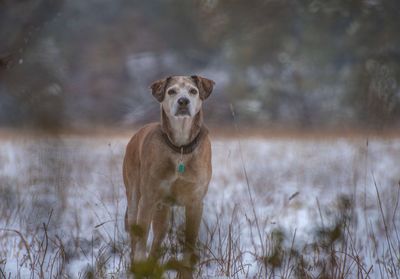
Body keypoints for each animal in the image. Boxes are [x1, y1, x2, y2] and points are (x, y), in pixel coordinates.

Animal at [122, 75, 214, 278]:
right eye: (171, 91)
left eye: (193, 91)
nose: (183, 101)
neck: (180, 147)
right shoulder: (148, 199)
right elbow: (141, 239)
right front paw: (140, 263)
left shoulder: (195, 202)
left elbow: (189, 244)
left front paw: (186, 272)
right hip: (134, 196)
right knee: (134, 234)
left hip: (162, 213)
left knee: (157, 242)